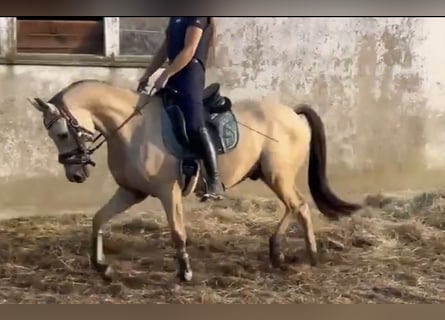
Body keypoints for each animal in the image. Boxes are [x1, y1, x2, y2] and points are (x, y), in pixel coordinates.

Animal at [26, 80, 360, 282]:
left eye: (62, 133)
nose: (75, 174)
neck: (132, 128)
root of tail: (291, 112)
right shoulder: (131, 191)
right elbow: (98, 219)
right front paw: (103, 268)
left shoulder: (167, 191)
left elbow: (177, 232)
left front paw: (184, 272)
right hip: (272, 176)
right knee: (295, 207)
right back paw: (281, 253)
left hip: (278, 175)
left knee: (299, 206)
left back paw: (304, 255)